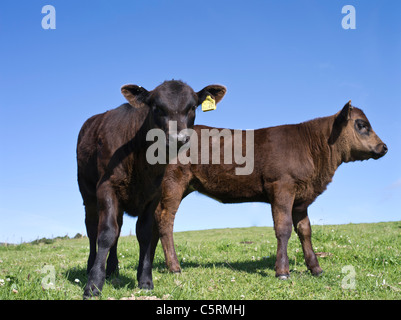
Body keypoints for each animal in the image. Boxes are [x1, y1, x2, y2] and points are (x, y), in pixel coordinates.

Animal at [152, 101, 386, 278]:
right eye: (361, 125)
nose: (384, 147)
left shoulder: (301, 198)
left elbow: (305, 230)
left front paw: (316, 269)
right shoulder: (282, 186)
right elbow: (283, 228)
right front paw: (282, 271)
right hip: (174, 182)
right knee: (166, 219)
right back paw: (174, 267)